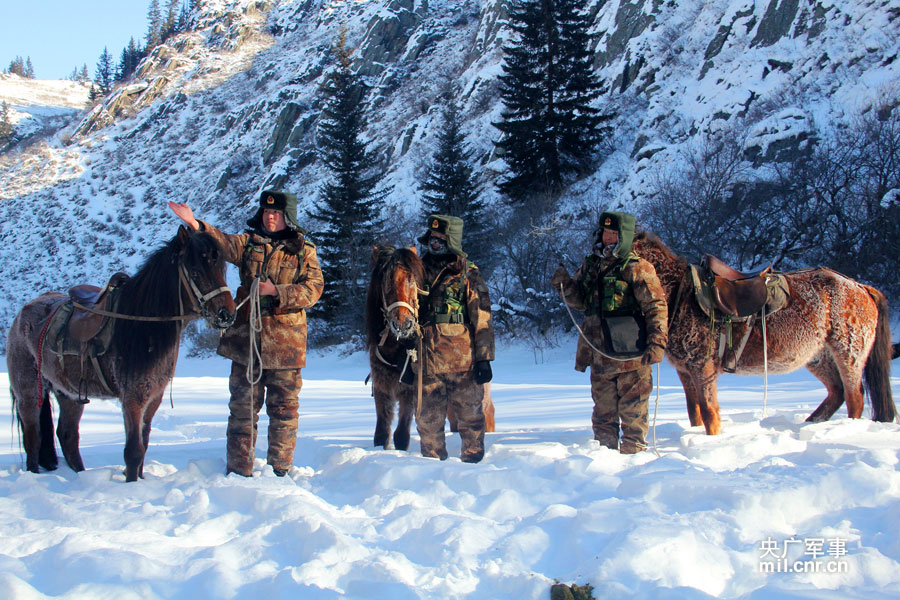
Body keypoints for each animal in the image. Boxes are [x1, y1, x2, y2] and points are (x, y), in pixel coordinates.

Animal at [628, 232, 896, 434]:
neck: (679, 293)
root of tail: (861, 287)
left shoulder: (702, 368)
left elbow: (709, 413)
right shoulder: (686, 371)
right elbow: (695, 414)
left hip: (848, 353)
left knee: (854, 397)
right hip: (818, 357)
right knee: (836, 392)